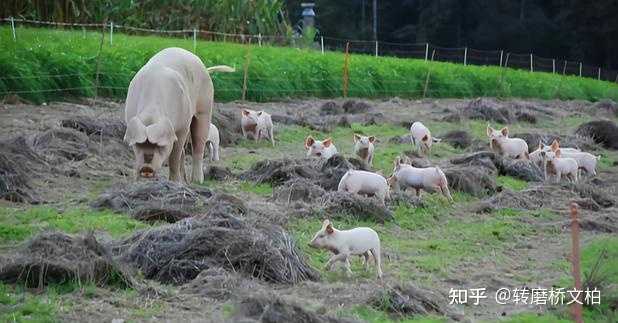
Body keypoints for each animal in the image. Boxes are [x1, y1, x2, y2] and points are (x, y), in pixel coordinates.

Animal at [123, 48, 233, 185]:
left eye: (161, 145)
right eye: (138, 144)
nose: (146, 168)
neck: (152, 113)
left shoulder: (182, 127)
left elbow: (174, 156)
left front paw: (174, 182)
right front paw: (135, 182)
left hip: (205, 107)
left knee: (198, 145)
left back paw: (196, 181)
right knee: (184, 152)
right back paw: (185, 181)